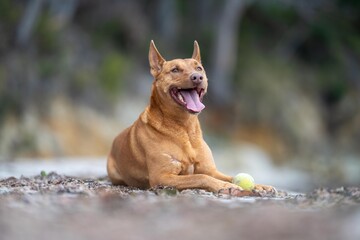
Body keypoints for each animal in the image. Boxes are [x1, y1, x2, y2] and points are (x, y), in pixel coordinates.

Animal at [107, 40, 276, 196]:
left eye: (199, 68)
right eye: (175, 70)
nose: (197, 77)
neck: (185, 128)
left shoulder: (211, 170)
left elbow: (229, 176)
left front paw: (259, 186)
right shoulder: (162, 177)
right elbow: (200, 177)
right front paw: (225, 186)